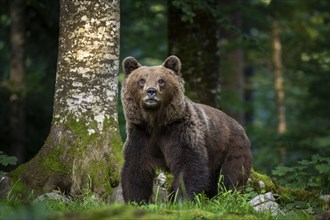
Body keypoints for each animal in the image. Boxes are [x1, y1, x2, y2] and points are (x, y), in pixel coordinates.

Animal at [121, 55, 253, 203]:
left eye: (161, 80)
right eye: (141, 80)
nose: (151, 91)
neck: (156, 121)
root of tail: (239, 126)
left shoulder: (181, 131)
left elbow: (188, 164)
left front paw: (182, 199)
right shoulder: (141, 134)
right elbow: (136, 167)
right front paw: (135, 200)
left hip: (230, 148)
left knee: (231, 175)